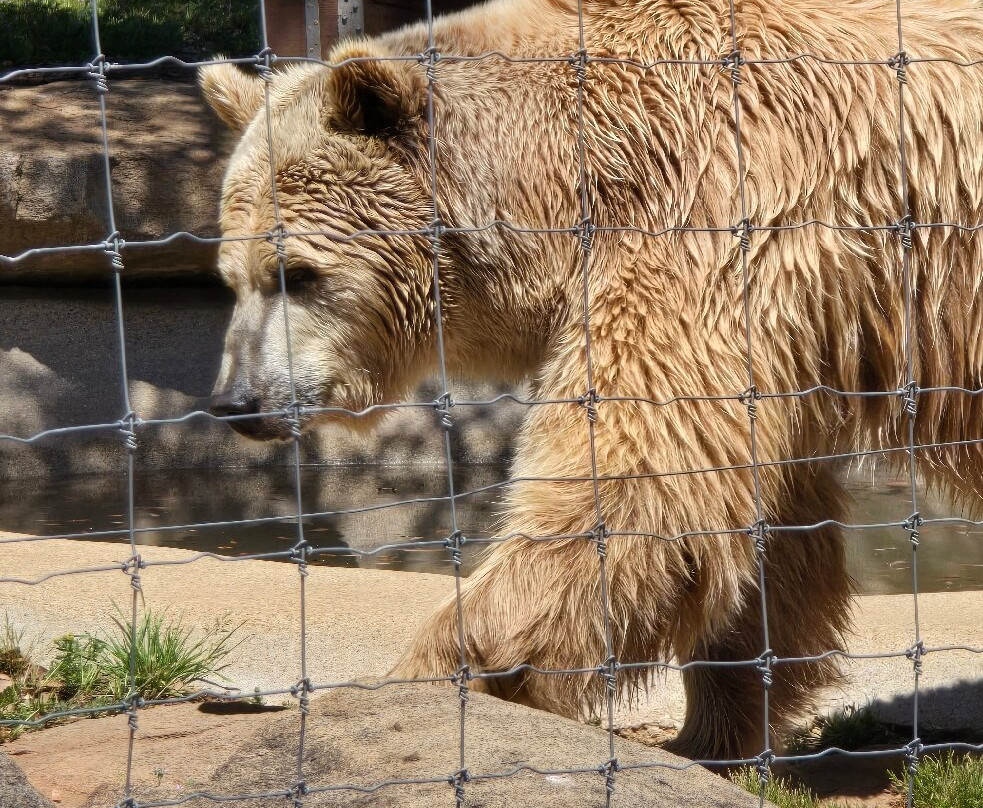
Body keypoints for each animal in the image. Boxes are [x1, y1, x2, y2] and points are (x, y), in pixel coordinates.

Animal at [200, 0, 983, 761]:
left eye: (297, 274)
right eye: (231, 278)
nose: (237, 401)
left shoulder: (708, 224)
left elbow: (631, 478)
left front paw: (437, 676)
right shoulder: (783, 321)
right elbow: (762, 523)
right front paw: (712, 731)